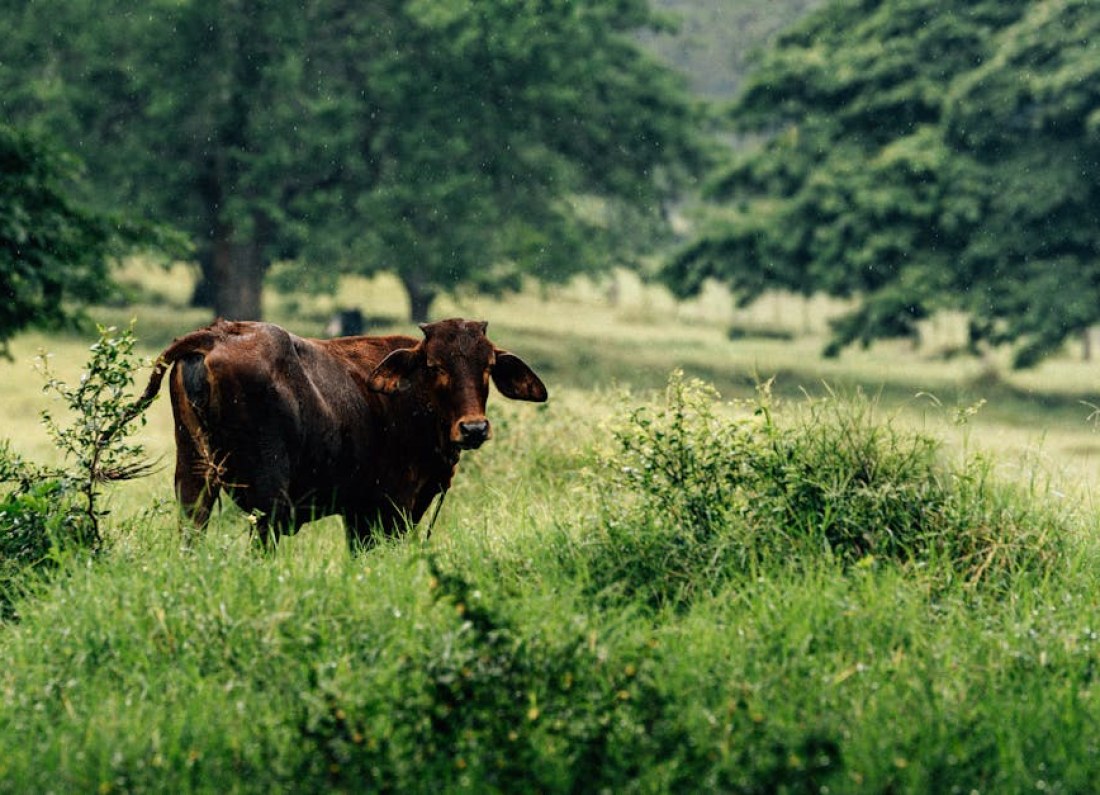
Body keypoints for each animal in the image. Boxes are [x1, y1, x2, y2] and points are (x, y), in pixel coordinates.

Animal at [133, 317, 547, 548]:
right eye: (434, 365)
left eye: (488, 365)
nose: (474, 428)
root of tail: (218, 334)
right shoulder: (390, 509)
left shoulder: (358, 513)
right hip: (269, 495)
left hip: (194, 478)